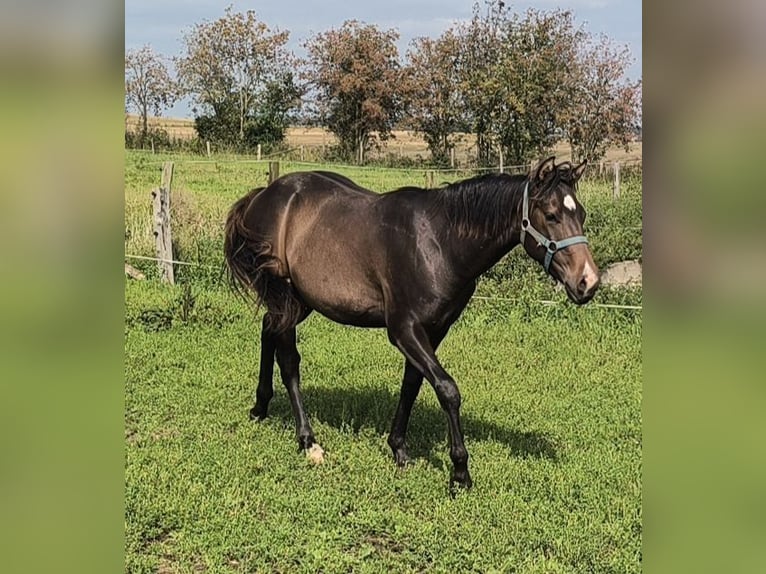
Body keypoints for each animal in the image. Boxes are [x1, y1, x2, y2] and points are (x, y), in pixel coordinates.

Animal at [225, 156, 604, 490]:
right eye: (551, 215)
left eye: (581, 214)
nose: (587, 282)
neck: (440, 242)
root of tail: (263, 194)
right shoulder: (403, 330)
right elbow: (447, 389)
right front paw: (460, 472)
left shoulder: (433, 331)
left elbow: (413, 384)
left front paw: (399, 448)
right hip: (285, 296)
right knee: (289, 361)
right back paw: (308, 441)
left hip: (298, 301)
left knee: (267, 331)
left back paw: (260, 406)